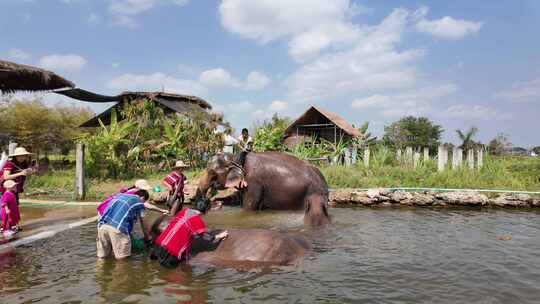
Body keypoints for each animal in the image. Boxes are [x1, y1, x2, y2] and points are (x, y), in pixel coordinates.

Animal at [194, 151, 330, 227]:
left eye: (212, 174)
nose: (204, 202)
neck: (236, 157)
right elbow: (236, 198)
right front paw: (218, 203)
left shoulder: (254, 183)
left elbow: (248, 208)